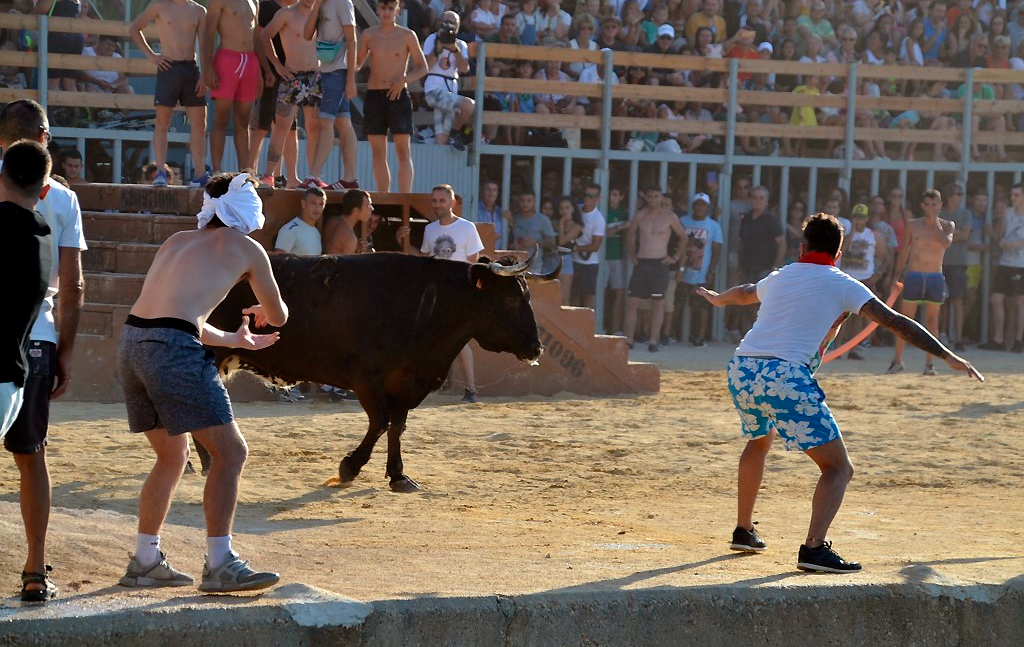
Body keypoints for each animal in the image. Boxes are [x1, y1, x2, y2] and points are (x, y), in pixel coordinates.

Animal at [202, 249, 557, 493]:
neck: (424, 305)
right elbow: (381, 422)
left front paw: (399, 475)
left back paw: (206, 463)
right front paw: (349, 467)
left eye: (528, 295)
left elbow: (397, 426)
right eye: (510, 299)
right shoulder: (367, 379)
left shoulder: (407, 381)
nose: (536, 348)